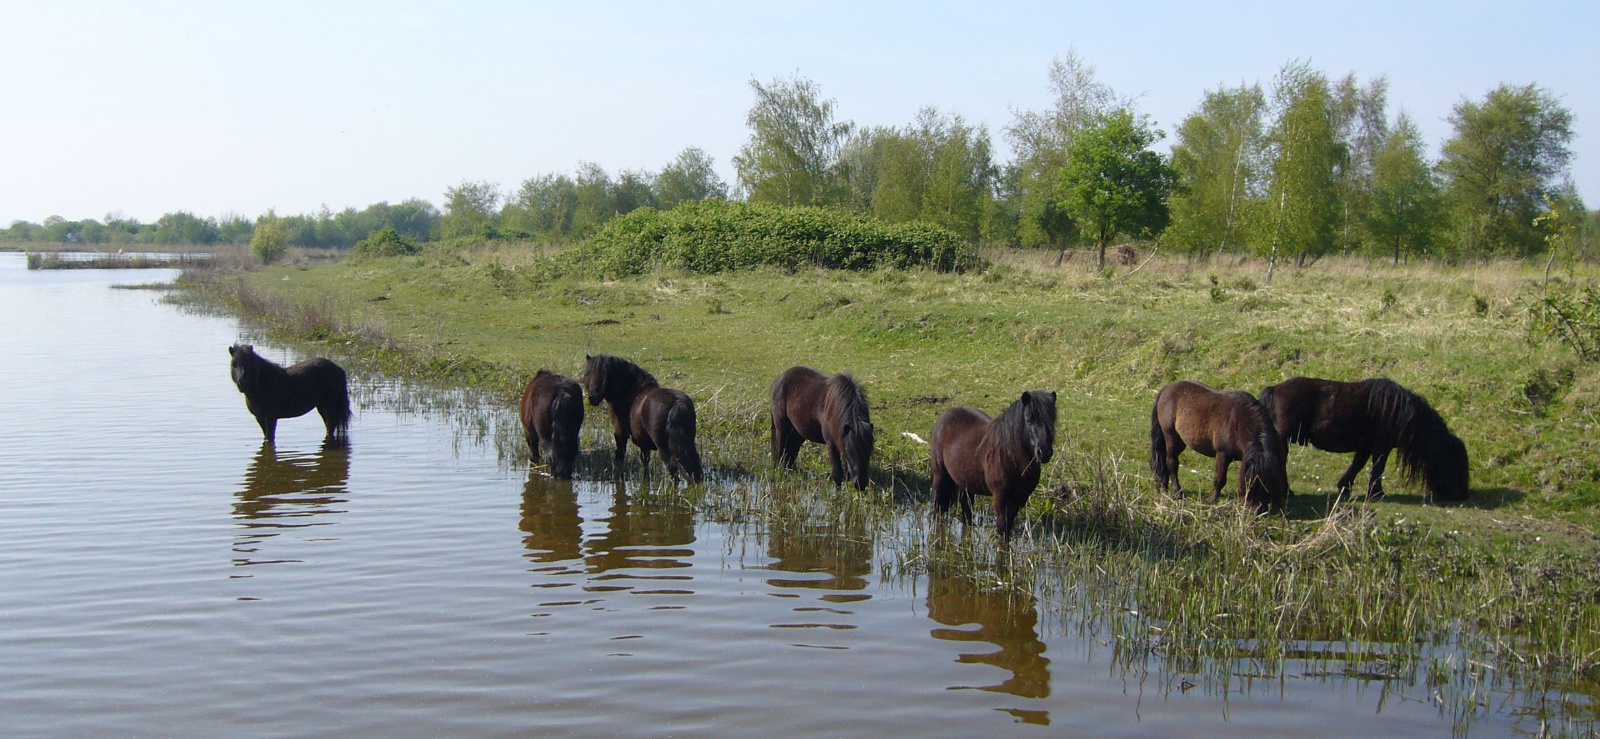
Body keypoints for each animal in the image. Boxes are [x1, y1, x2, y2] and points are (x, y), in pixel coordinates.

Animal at [582, 354, 704, 484]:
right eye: (588, 374)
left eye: (606, 376)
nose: (593, 397)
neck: (631, 394)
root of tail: (677, 402)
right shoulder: (644, 444)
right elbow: (645, 463)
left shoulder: (620, 434)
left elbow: (619, 458)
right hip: (688, 443)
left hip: (663, 447)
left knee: (673, 468)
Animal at [929, 391, 1057, 538]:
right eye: (1028, 420)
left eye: (1052, 420)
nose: (1044, 452)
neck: (1010, 457)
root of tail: (946, 415)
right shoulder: (1001, 498)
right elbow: (1002, 530)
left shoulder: (1019, 499)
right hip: (940, 476)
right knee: (937, 505)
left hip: (966, 484)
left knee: (967, 512)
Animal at [1149, 380, 1289, 512]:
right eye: (1250, 482)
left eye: (1268, 483)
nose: (1257, 510)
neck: (1240, 422)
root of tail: (1167, 388)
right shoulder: (1223, 454)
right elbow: (1220, 478)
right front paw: (1212, 499)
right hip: (1171, 436)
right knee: (1171, 462)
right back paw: (1177, 492)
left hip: (1179, 441)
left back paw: (1163, 486)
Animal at [1259, 377, 1469, 503]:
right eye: (1455, 464)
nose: (1462, 495)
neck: (1399, 413)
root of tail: (1273, 389)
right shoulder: (1381, 447)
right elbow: (1377, 469)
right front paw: (1377, 494)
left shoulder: (1366, 446)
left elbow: (1357, 465)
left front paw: (1344, 487)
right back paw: (1286, 492)